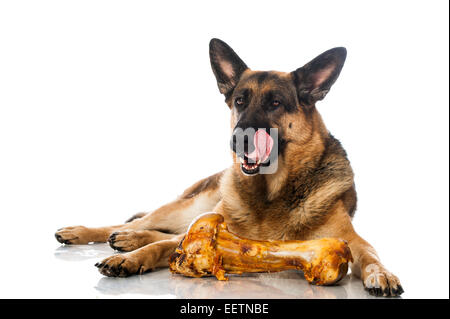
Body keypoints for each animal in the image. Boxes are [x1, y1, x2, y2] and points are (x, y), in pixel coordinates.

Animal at [54, 38, 402, 298]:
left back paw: (126, 238)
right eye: (239, 101)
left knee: (151, 229)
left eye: (276, 103)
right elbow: (160, 246)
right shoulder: (202, 230)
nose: (238, 140)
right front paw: (129, 259)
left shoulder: (354, 242)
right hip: (188, 207)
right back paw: (91, 233)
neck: (270, 195)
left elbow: (372, 256)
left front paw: (382, 274)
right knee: (140, 223)